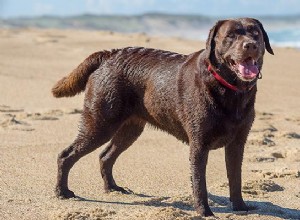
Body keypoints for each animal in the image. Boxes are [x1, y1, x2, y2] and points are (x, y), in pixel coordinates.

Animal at [52, 17, 274, 217]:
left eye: (255, 33)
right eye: (230, 36)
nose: (250, 45)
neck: (229, 88)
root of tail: (108, 54)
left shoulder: (238, 142)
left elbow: (235, 178)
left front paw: (241, 207)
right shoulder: (199, 144)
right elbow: (199, 183)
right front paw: (205, 213)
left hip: (130, 129)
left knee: (105, 156)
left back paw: (113, 188)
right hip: (100, 123)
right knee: (66, 154)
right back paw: (62, 192)